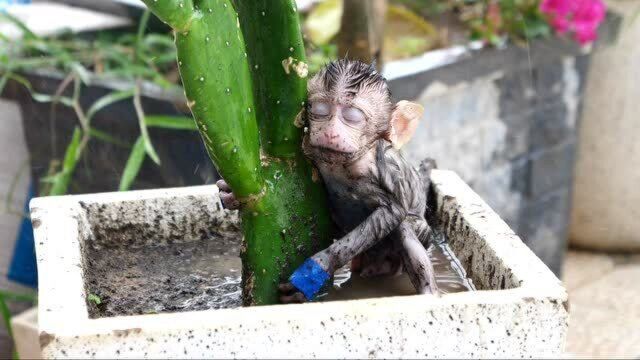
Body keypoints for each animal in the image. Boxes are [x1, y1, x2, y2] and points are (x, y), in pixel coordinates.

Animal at [218, 59, 438, 304]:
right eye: (320, 111)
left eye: (352, 116)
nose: (331, 132)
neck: (342, 165)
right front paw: (231, 195)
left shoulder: (387, 169)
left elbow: (393, 211)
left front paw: (314, 271)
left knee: (404, 229)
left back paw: (429, 292)